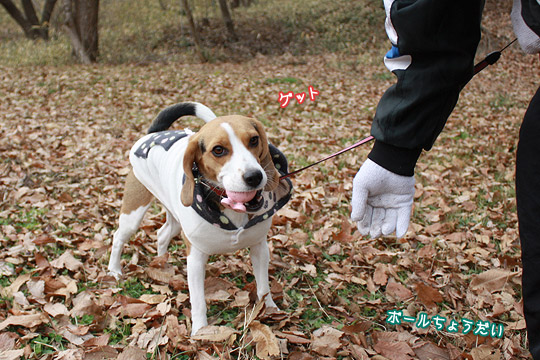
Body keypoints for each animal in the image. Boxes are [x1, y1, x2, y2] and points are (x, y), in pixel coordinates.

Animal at [106, 101, 292, 334]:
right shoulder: (195, 258)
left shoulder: (259, 247)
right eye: (218, 150)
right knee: (118, 238)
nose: (254, 177)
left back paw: (162, 263)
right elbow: (198, 301)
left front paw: (270, 309)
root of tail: (155, 133)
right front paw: (200, 332)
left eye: (254, 140)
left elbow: (263, 286)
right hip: (133, 213)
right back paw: (114, 270)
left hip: (175, 218)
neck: (228, 203)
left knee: (162, 234)